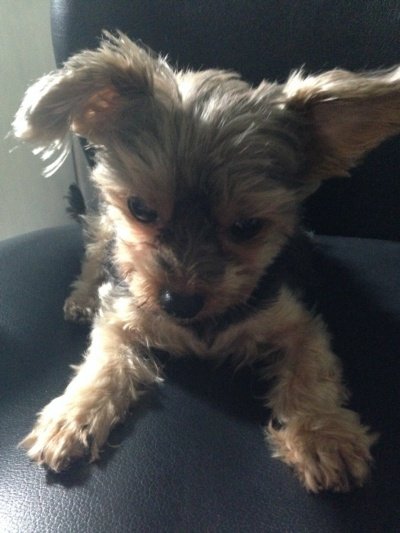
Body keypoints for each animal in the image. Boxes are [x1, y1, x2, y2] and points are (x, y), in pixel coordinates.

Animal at [13, 32, 400, 492]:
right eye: (140, 208)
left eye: (248, 226)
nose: (179, 302)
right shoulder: (122, 314)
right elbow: (103, 361)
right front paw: (73, 414)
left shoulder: (299, 319)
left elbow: (311, 371)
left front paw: (323, 434)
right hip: (105, 228)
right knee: (94, 254)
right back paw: (82, 298)